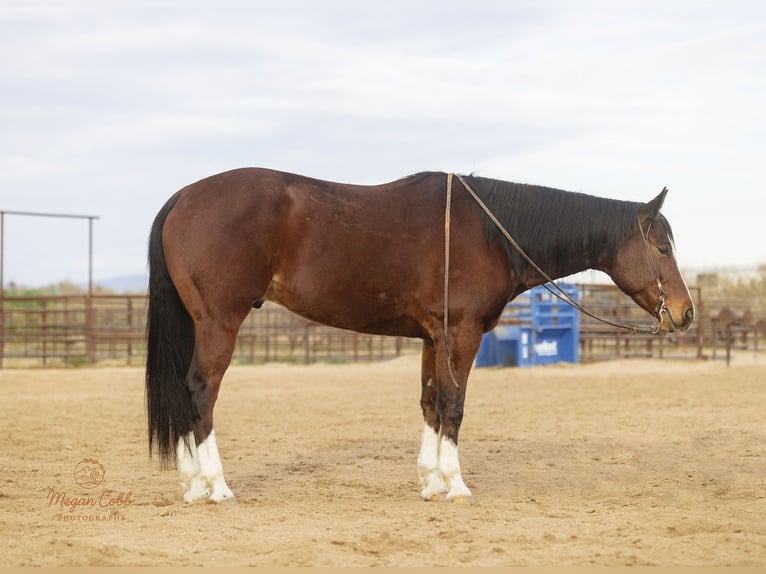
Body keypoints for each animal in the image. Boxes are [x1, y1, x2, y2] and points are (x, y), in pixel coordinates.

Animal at [145, 168, 695, 503]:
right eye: (662, 246)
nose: (686, 313)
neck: (490, 234)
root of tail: (183, 197)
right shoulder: (461, 334)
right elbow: (454, 404)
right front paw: (456, 484)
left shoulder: (433, 338)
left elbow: (431, 402)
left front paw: (430, 482)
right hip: (220, 320)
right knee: (201, 391)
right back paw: (215, 486)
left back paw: (192, 485)